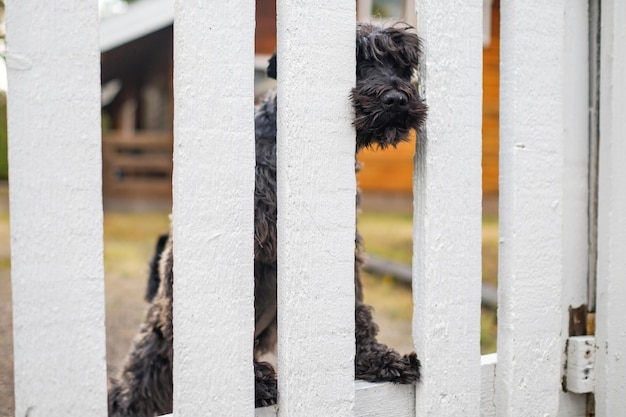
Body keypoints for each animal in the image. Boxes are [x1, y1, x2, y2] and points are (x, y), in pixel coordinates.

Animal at [109, 23, 426, 416]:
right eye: (355, 60)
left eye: (403, 64)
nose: (397, 99)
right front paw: (254, 382)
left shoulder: (343, 248)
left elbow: (355, 308)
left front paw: (375, 359)